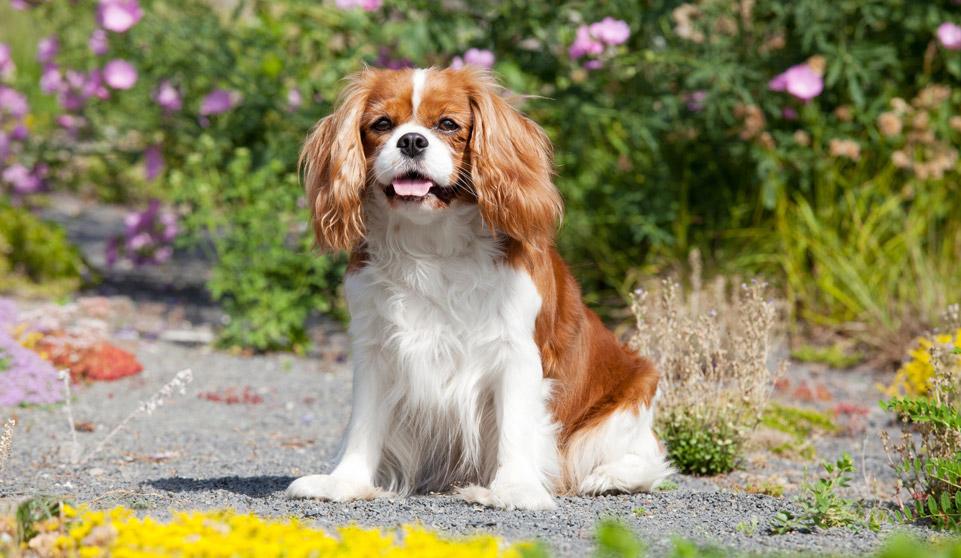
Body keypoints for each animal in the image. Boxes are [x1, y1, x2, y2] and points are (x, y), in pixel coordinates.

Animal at [288, 66, 672, 512]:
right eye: (382, 125)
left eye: (448, 125)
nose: (412, 140)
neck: (432, 242)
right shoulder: (375, 349)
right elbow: (364, 425)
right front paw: (344, 482)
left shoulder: (517, 352)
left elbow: (514, 427)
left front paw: (515, 489)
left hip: (630, 397)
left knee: (648, 459)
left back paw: (609, 476)